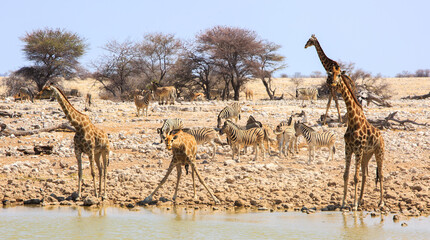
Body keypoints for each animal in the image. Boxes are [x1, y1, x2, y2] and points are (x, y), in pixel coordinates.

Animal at [328, 65, 384, 210]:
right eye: (330, 74)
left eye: (339, 75)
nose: (332, 83)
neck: (353, 122)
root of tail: (381, 136)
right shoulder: (348, 149)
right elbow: (346, 175)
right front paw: (343, 203)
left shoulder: (357, 149)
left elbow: (355, 177)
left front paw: (353, 205)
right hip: (366, 154)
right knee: (365, 175)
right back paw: (360, 200)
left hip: (379, 152)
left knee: (381, 175)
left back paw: (381, 202)